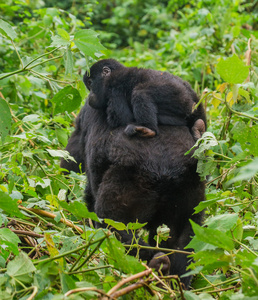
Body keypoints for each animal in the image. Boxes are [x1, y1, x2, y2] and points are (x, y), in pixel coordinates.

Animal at [61, 99, 205, 288]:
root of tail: (167, 171)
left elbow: (70, 160)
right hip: (191, 188)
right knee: (185, 236)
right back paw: (172, 278)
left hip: (127, 183)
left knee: (114, 225)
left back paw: (152, 265)